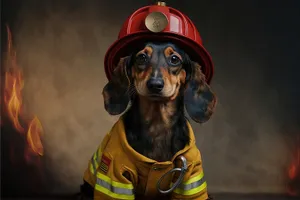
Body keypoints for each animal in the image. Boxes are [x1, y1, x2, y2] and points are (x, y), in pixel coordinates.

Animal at [79, 41, 216, 199]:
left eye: (174, 59)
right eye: (142, 57)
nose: (155, 84)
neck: (158, 124)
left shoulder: (191, 174)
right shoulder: (115, 173)